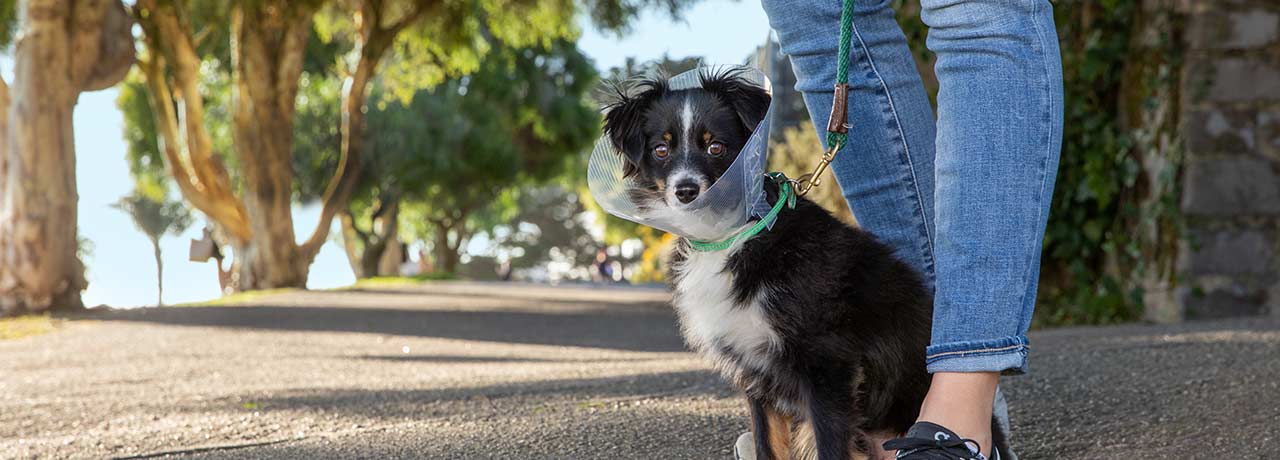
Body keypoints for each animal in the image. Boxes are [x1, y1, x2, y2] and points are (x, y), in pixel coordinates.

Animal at [599, 69, 1008, 460]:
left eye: (716, 146)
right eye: (661, 149)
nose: (686, 191)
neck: (735, 238)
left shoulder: (828, 367)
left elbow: (829, 446)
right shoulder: (755, 370)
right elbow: (768, 444)